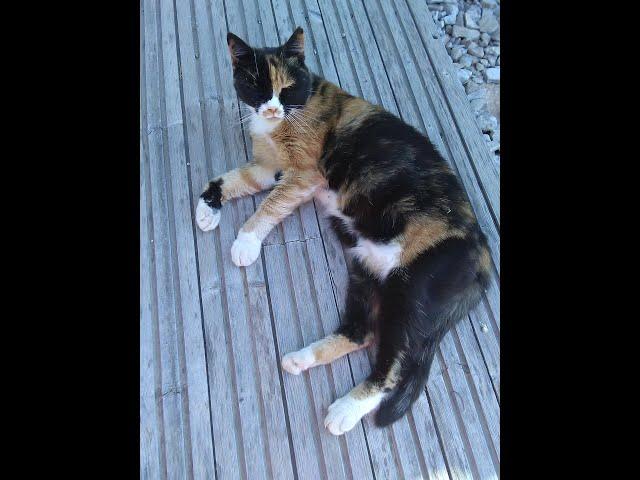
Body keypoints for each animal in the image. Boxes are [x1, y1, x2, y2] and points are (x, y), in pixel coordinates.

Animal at [198, 28, 492, 436]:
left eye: (287, 88)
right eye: (257, 87)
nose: (271, 108)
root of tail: (483, 256)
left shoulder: (303, 176)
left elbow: (269, 206)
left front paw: (246, 241)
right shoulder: (266, 168)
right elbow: (230, 179)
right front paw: (206, 210)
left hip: (410, 294)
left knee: (393, 367)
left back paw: (344, 411)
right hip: (365, 271)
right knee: (361, 332)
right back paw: (301, 359)